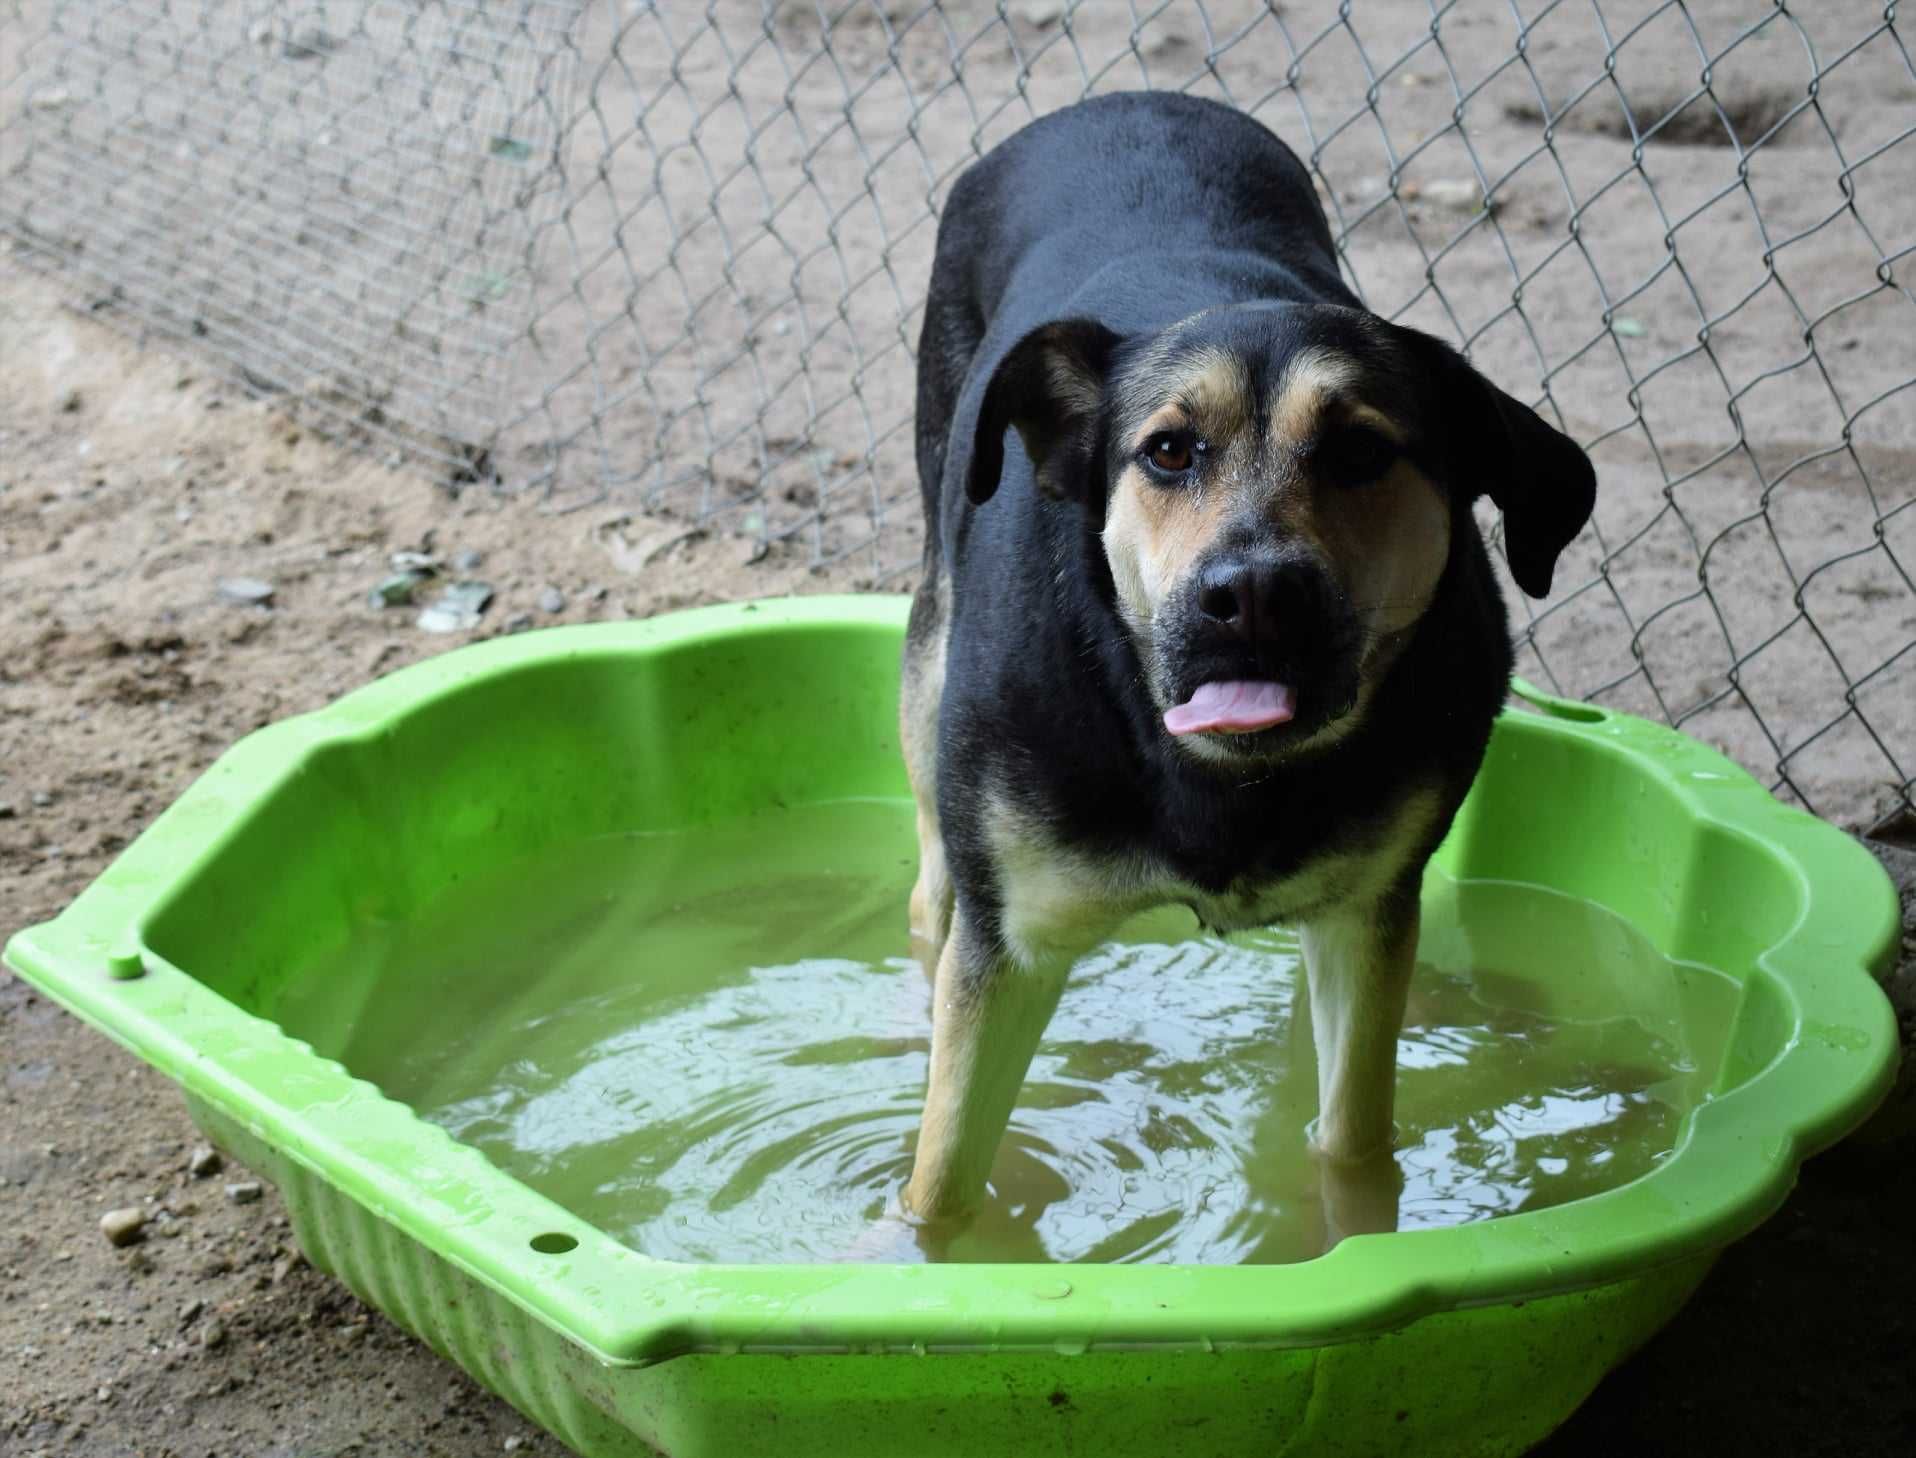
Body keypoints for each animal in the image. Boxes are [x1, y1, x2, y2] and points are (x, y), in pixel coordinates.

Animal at [896, 91, 1601, 1226]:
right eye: (1167, 451)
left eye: (1360, 451)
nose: (1253, 594)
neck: (1221, 772)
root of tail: (1125, 97)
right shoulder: (1008, 945)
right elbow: (941, 1180)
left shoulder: (1369, 912)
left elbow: (1353, 1139)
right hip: (931, 643)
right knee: (930, 895)